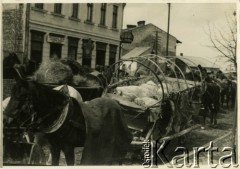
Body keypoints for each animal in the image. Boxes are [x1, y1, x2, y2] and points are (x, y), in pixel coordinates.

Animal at [4, 76, 133, 166]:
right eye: (12, 94)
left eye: (21, 96)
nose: (5, 119)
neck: (59, 113)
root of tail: (116, 104)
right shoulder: (54, 148)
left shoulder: (68, 148)